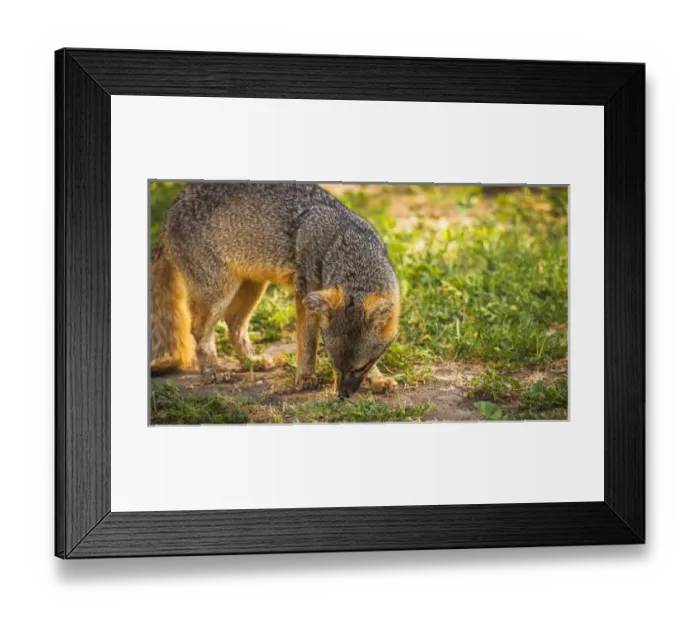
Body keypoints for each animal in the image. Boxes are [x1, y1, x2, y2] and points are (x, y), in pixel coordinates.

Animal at [150, 183, 399, 398]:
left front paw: (378, 379)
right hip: (218, 294)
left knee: (234, 324)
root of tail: (170, 211)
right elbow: (308, 343)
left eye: (360, 368)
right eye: (335, 365)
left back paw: (252, 361)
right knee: (199, 331)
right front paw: (305, 378)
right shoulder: (305, 294)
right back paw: (213, 370)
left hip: (253, 287)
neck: (345, 247)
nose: (342, 396)